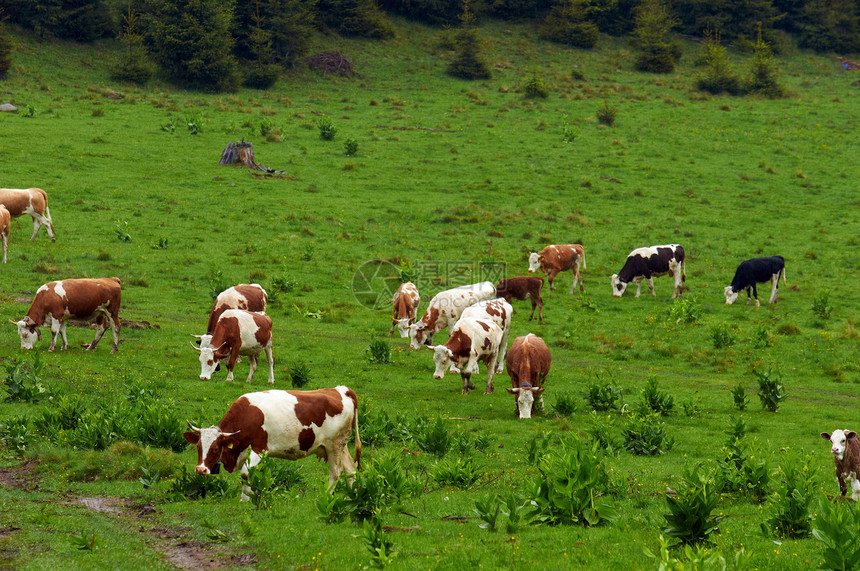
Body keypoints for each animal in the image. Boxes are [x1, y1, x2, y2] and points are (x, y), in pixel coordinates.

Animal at [183, 386, 362, 502]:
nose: (200, 469)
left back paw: (327, 496)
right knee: (350, 468)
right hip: (340, 446)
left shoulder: (259, 448)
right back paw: (353, 494)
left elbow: (245, 473)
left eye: (214, 449)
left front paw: (246, 499)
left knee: (336, 472)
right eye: (198, 446)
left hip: (335, 445)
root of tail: (341, 389)